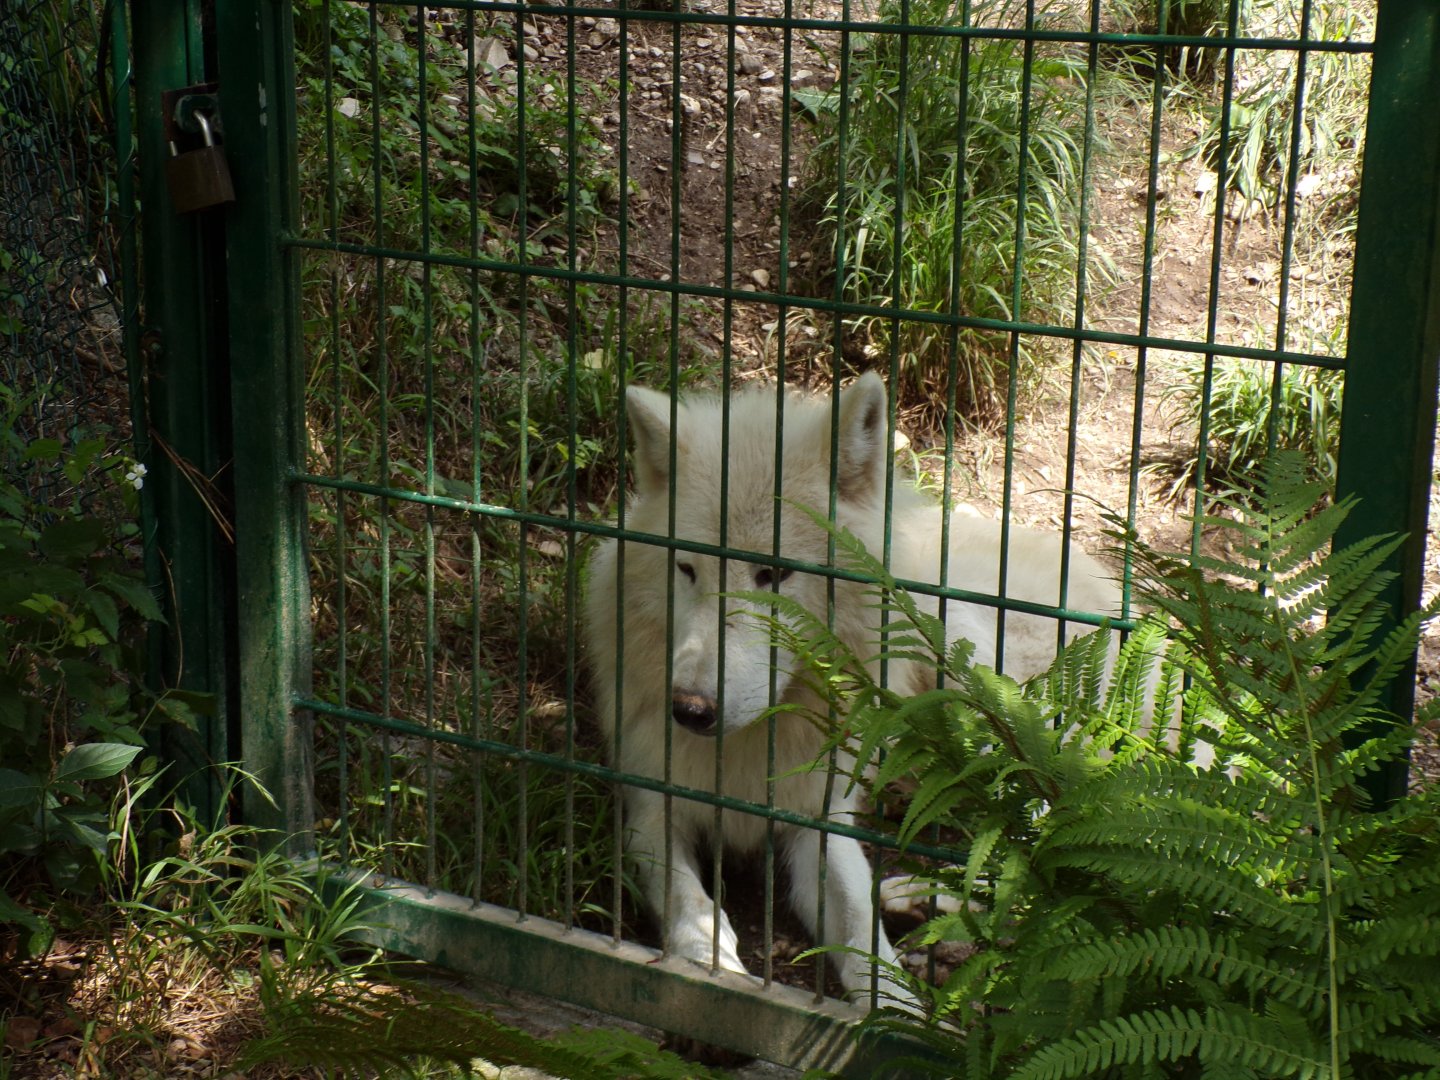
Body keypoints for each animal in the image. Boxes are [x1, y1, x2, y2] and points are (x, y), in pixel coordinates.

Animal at [582, 372, 1124, 1007]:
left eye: (774, 574)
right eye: (687, 569)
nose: (690, 710)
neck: (752, 745)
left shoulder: (820, 820)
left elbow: (859, 927)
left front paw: (894, 1007)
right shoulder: (650, 806)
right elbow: (688, 902)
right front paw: (707, 967)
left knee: (1033, 838)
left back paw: (914, 895)